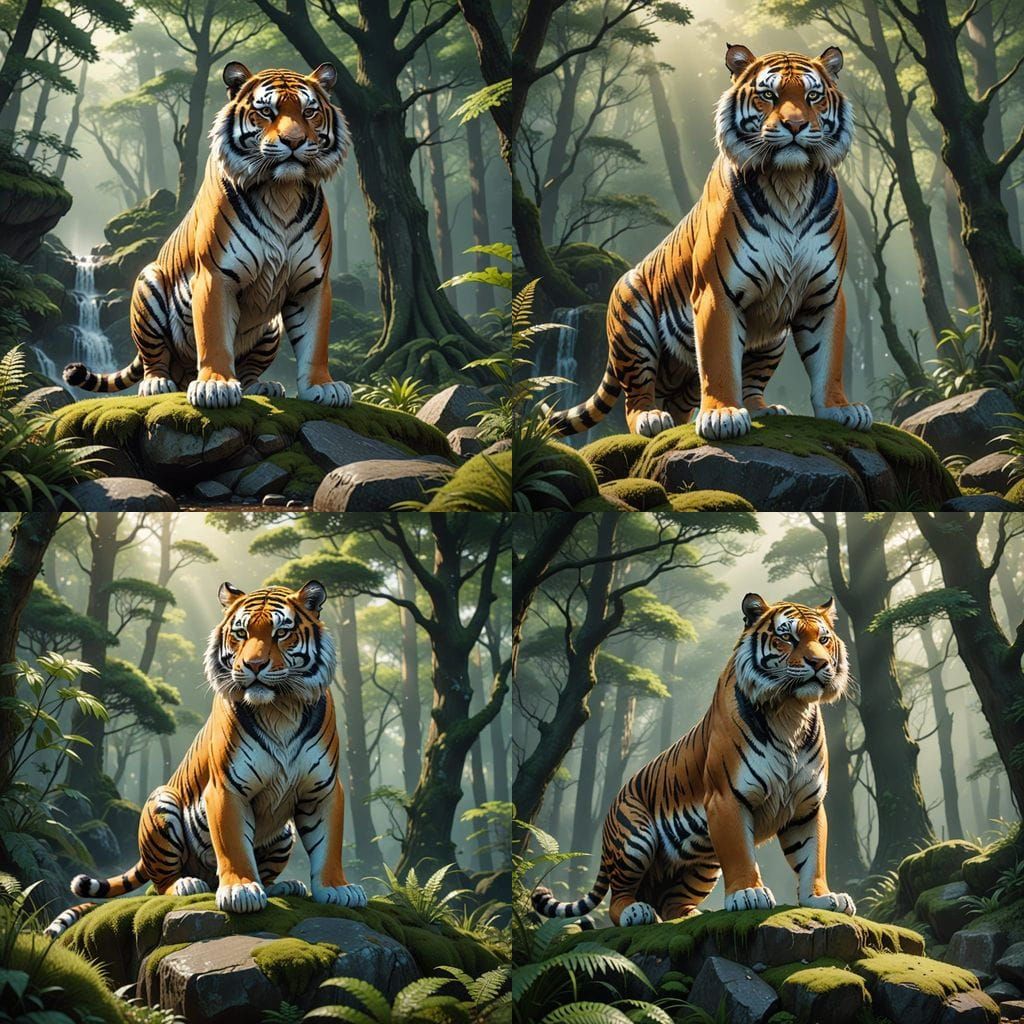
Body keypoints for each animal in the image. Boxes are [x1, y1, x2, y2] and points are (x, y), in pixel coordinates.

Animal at [44, 579, 367, 939]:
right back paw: (187, 884)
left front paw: (337, 889)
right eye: (240, 633)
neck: (279, 708)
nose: (254, 666)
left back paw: (285, 886)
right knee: (159, 884)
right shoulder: (227, 787)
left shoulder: (323, 789)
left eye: (282, 632)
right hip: (161, 801)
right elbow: (234, 844)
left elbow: (328, 844)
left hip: (283, 833)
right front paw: (241, 890)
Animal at [62, 62, 352, 410]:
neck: (282, 192)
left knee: (250, 369)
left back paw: (263, 385)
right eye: (266, 111)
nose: (293, 141)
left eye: (310, 112)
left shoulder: (312, 283)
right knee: (153, 357)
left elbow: (315, 341)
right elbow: (213, 335)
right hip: (148, 283)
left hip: (271, 327)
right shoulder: (216, 275)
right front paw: (216, 386)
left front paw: (323, 386)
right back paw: (157, 383)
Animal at [532, 593, 856, 927]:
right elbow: (741, 854)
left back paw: (694, 914)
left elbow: (812, 857)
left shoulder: (807, 805)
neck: (790, 712)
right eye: (787, 637)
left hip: (703, 864)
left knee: (670, 904)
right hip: (635, 839)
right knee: (617, 899)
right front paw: (749, 894)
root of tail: (612, 806)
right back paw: (636, 911)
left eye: (823, 639)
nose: (819, 663)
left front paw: (822, 898)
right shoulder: (727, 799)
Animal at [550, 44, 872, 441]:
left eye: (813, 96)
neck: (789, 182)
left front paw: (841, 409)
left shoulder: (824, 296)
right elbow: (719, 361)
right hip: (633, 320)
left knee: (732, 387)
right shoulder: (716, 291)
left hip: (769, 338)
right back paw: (650, 418)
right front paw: (722, 416)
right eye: (769, 95)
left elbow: (829, 361)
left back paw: (763, 408)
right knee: (635, 395)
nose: (795, 126)